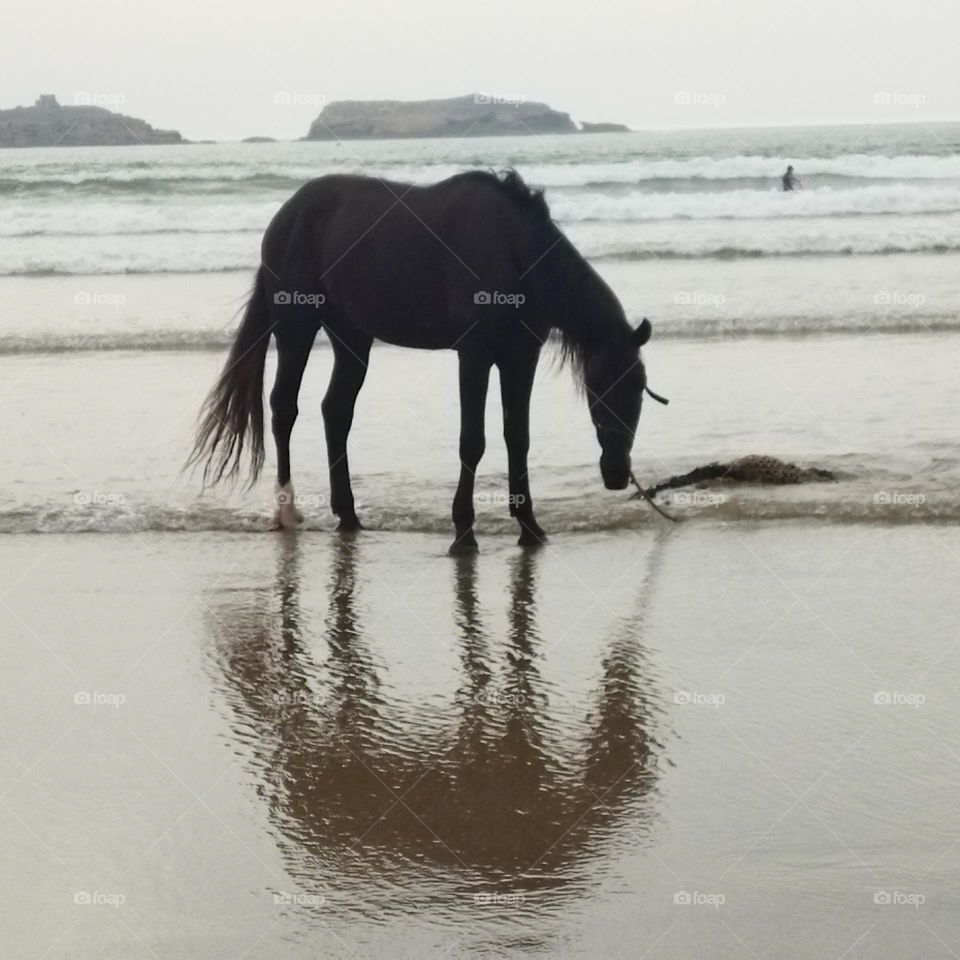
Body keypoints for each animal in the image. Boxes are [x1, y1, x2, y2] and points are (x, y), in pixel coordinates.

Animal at [188, 169, 652, 552]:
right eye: (602, 388)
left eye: (639, 391)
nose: (616, 473)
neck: (514, 249)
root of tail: (285, 217)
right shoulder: (475, 355)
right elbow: (473, 441)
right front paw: (463, 532)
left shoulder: (521, 357)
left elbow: (517, 437)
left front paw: (529, 527)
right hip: (296, 329)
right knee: (284, 408)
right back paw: (287, 512)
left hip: (351, 337)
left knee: (335, 411)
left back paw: (349, 515)